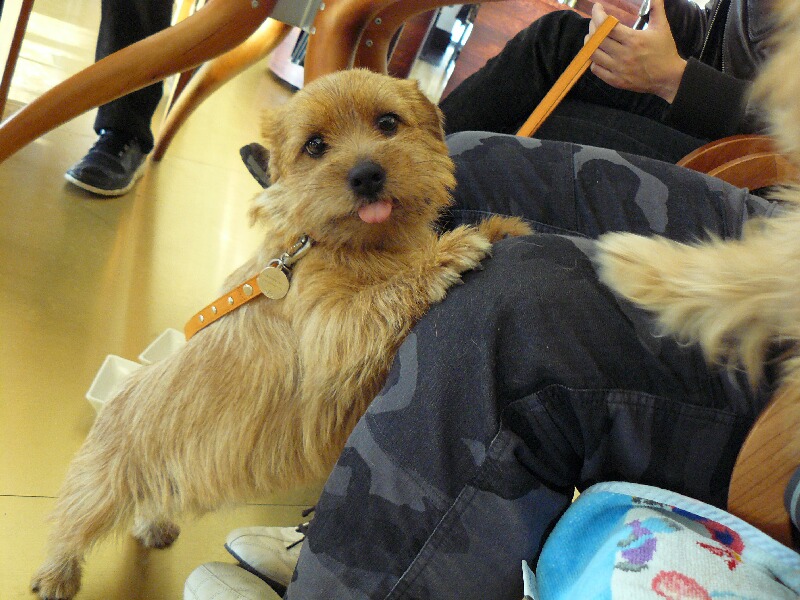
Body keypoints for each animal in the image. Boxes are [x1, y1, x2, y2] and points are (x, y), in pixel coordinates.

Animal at [31, 69, 531, 599]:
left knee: (152, 503)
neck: (346, 246)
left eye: (388, 122)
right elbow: (389, 294)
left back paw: (155, 527)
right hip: (103, 485)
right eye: (315, 145)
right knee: (70, 524)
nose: (367, 174)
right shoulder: (334, 335)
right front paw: (447, 252)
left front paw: (502, 228)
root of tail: (115, 394)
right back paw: (56, 576)